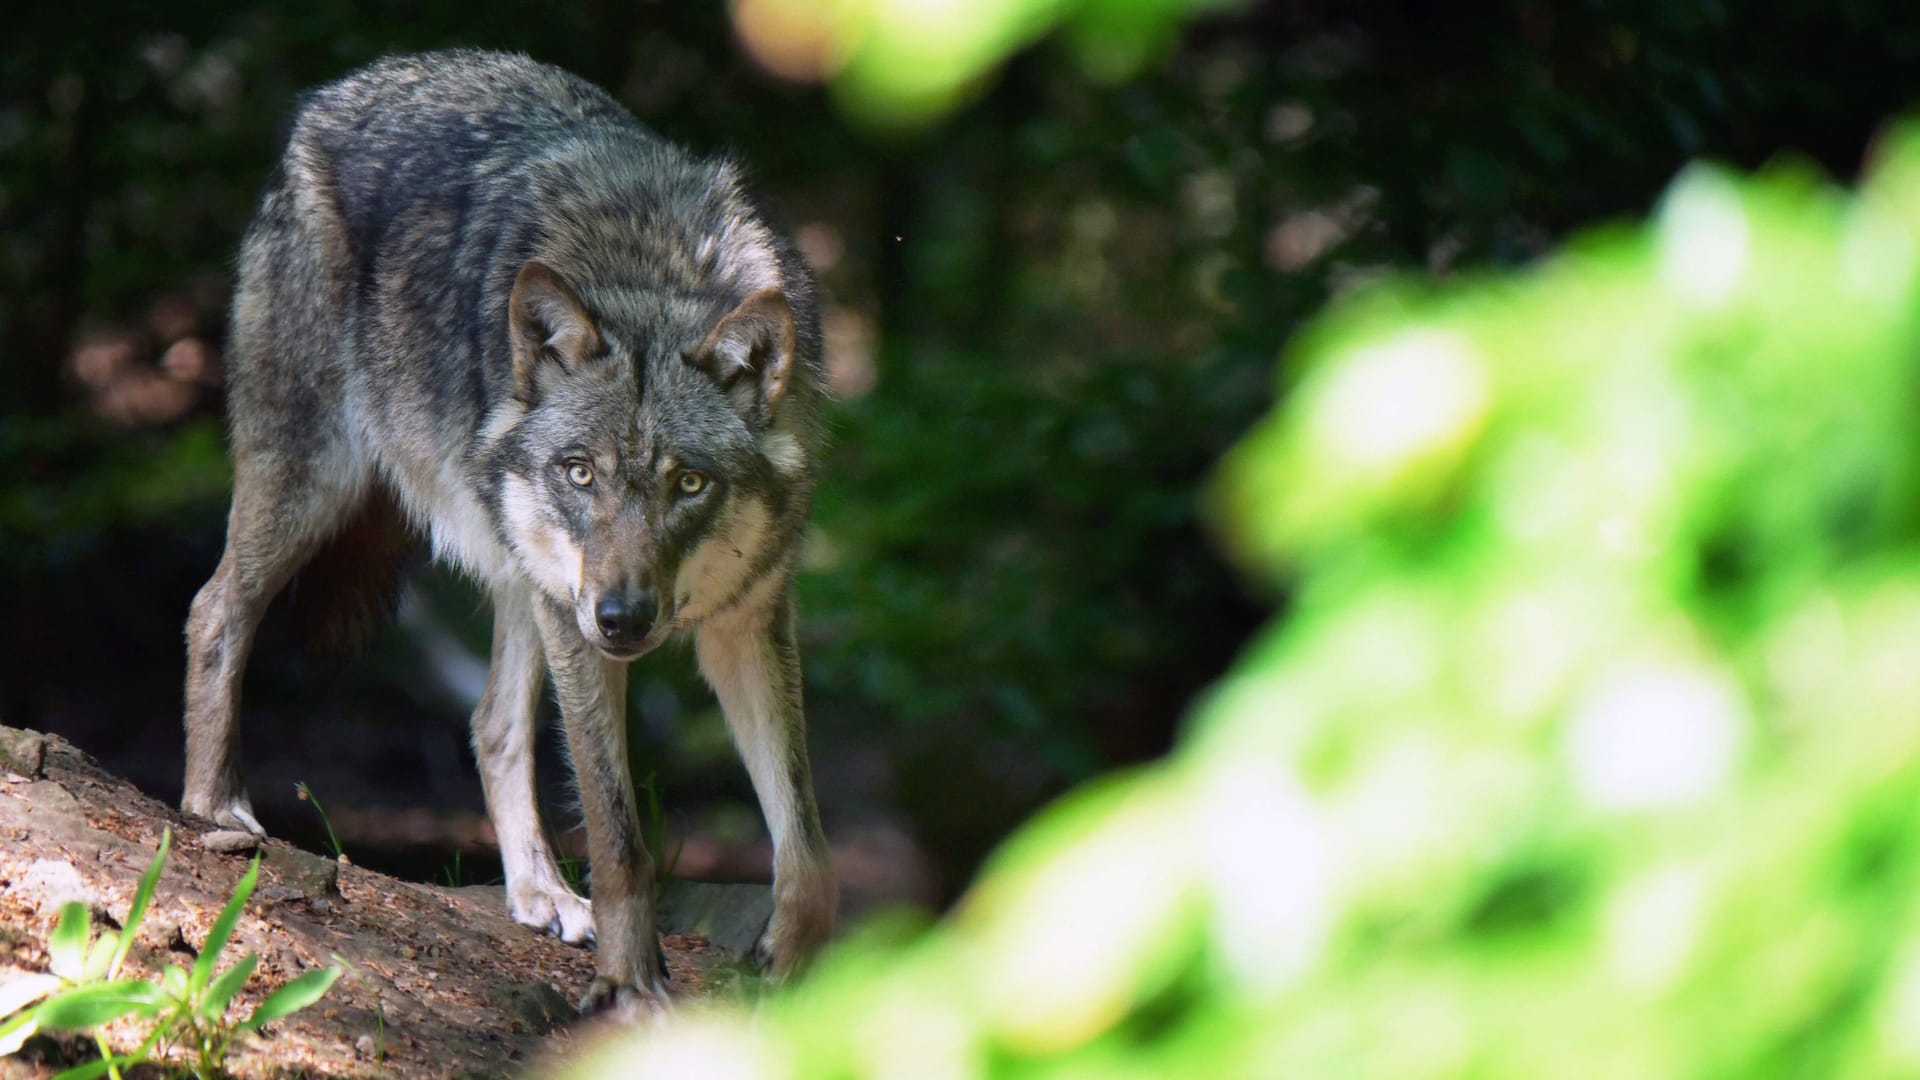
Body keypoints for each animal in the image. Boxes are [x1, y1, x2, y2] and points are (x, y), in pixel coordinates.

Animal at [180, 48, 833, 1006]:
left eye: (687, 483)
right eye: (581, 472)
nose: (624, 620)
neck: (651, 274)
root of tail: (335, 94)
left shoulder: (746, 620)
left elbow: (806, 841)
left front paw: (791, 967)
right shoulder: (581, 622)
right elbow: (619, 835)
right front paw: (632, 987)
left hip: (526, 572)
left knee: (491, 722)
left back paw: (539, 895)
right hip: (318, 487)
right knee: (215, 608)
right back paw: (212, 806)